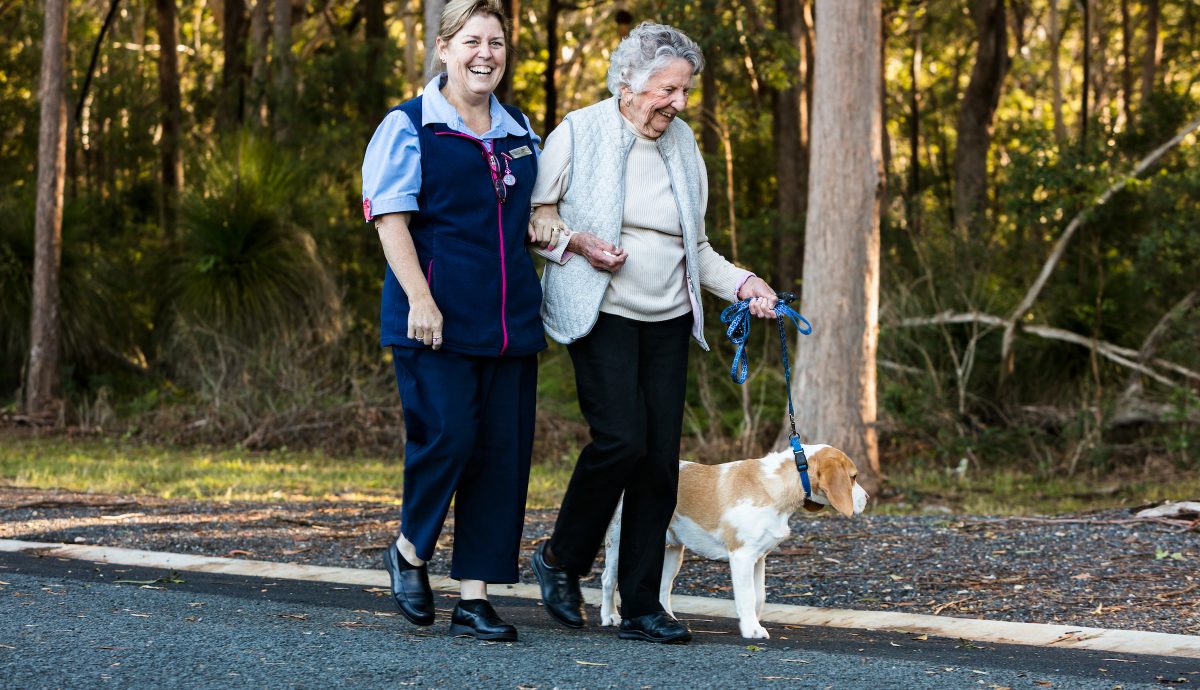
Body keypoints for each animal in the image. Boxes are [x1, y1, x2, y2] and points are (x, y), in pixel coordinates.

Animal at [604, 446, 868, 638]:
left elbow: (759, 595)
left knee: (663, 587)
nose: (866, 498)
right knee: (608, 580)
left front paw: (752, 622)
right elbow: (747, 596)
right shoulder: (742, 557)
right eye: (853, 477)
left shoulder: (759, 558)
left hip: (673, 553)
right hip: (618, 546)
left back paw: (669, 620)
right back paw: (610, 617)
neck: (776, 485)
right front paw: (752, 630)